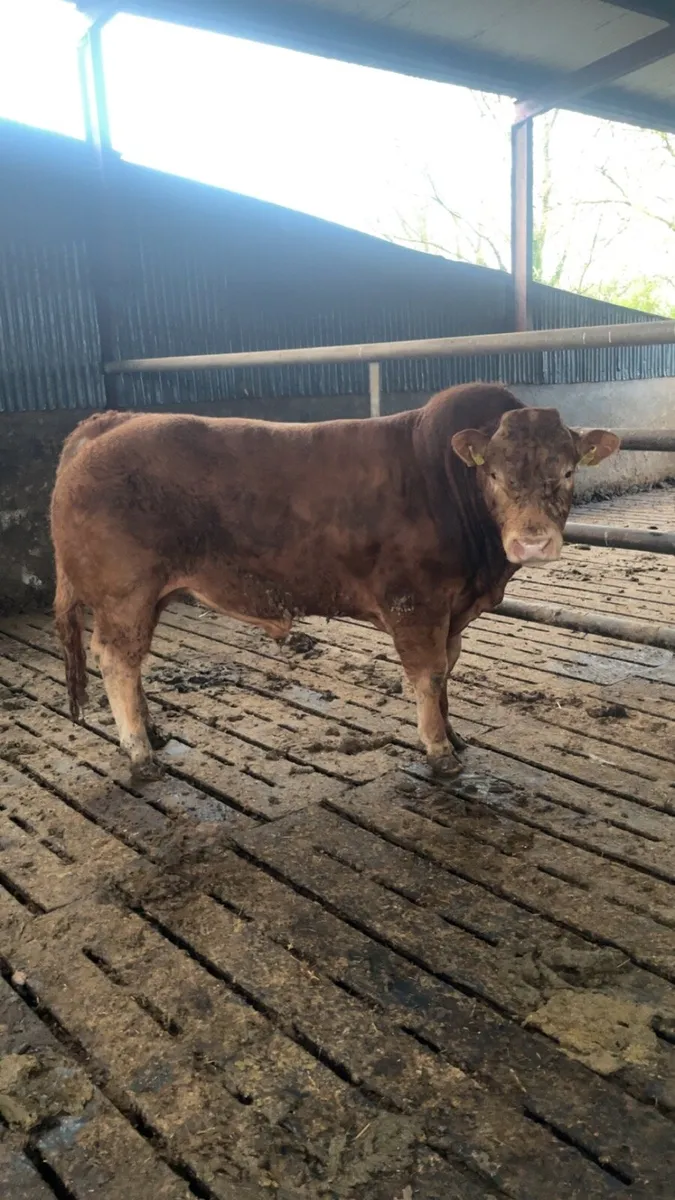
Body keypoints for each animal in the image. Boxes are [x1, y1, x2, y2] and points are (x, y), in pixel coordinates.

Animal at [50, 384, 619, 783]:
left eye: (568, 472)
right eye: (496, 475)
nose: (532, 542)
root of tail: (112, 420)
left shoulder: (452, 611)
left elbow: (448, 673)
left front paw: (454, 736)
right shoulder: (415, 603)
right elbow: (429, 675)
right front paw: (439, 752)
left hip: (147, 597)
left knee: (133, 666)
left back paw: (153, 733)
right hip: (124, 594)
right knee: (118, 663)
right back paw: (140, 755)